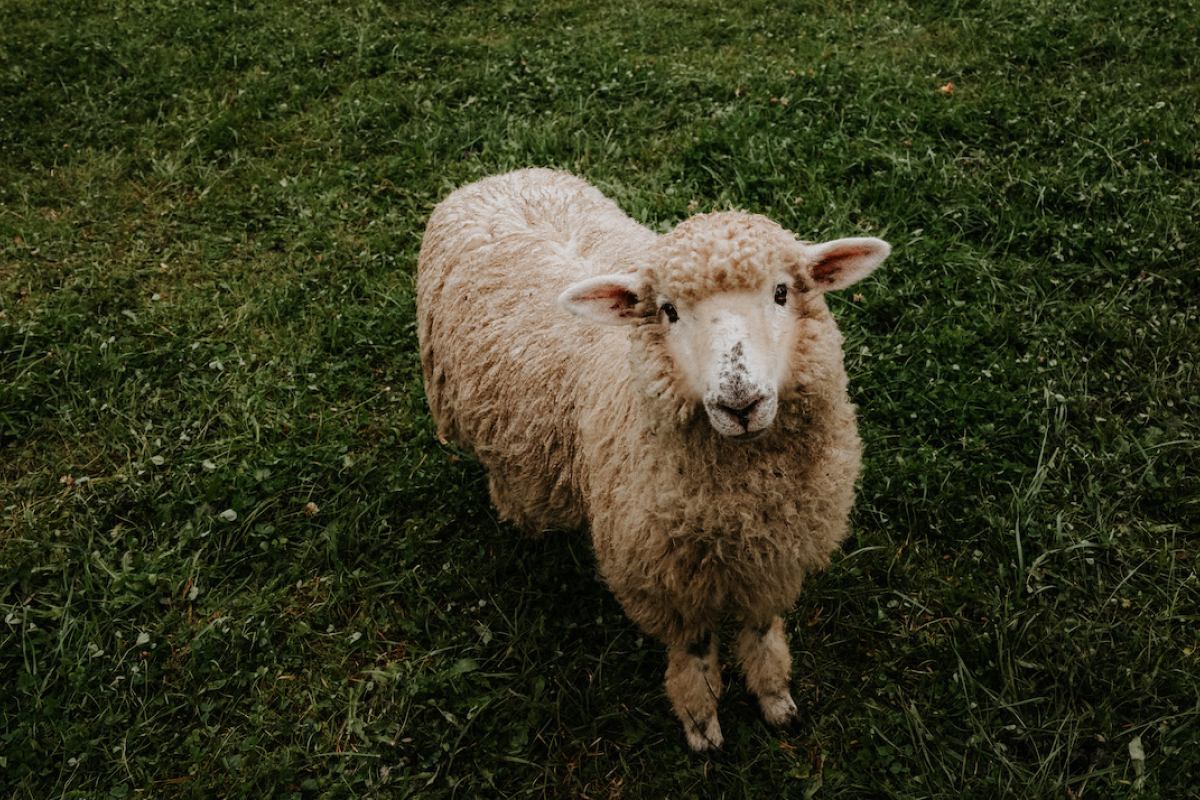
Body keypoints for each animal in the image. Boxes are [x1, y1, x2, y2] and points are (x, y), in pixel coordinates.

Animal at [415, 169, 892, 753]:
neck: (744, 507)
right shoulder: (664, 581)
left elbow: (760, 633)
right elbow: (694, 655)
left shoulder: (773, 559)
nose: (740, 403)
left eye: (782, 292)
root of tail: (497, 177)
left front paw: (776, 698)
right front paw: (702, 724)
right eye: (668, 310)